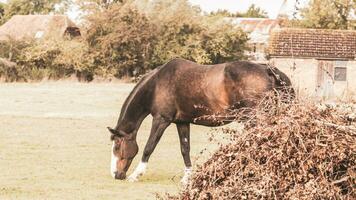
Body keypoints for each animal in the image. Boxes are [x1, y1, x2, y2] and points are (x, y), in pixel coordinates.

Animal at [108, 58, 292, 183]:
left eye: (117, 145)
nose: (115, 175)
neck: (157, 84)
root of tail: (267, 69)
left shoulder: (161, 120)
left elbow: (149, 147)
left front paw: (135, 175)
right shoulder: (182, 122)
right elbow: (185, 149)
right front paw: (187, 178)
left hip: (255, 118)